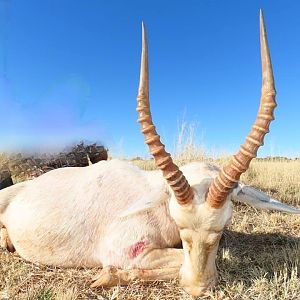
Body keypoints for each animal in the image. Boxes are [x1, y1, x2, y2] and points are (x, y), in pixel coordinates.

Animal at [0, 10, 298, 296]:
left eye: (222, 226)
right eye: (179, 224)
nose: (197, 287)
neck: (157, 201)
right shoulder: (127, 251)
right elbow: (180, 261)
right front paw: (108, 276)